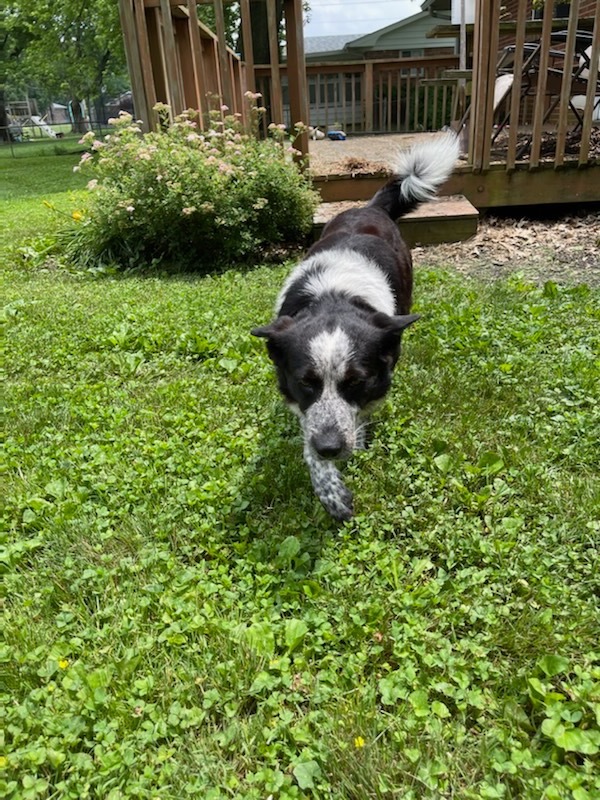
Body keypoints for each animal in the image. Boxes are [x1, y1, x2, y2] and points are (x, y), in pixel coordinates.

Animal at [251, 134, 458, 520]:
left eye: (356, 382)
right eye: (305, 382)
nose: (330, 448)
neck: (333, 299)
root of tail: (370, 207)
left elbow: (359, 414)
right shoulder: (307, 410)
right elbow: (309, 438)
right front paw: (330, 489)